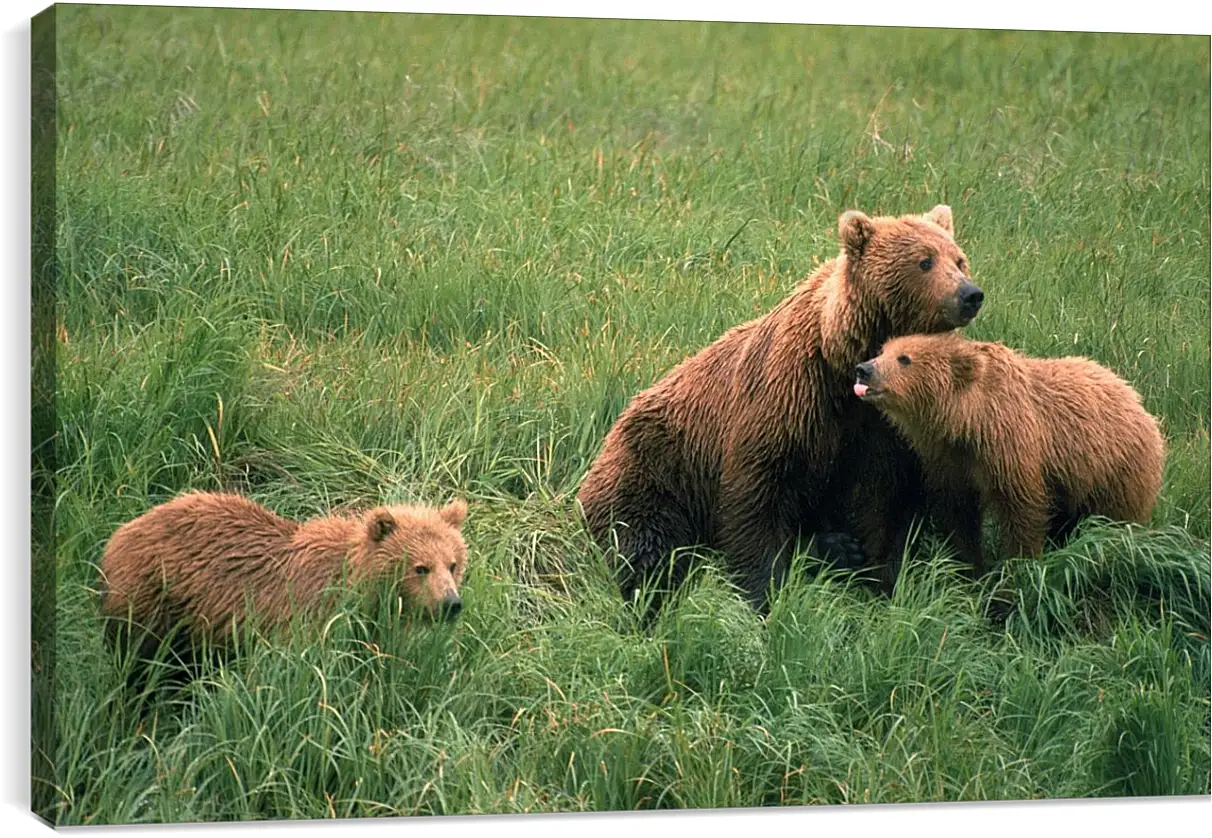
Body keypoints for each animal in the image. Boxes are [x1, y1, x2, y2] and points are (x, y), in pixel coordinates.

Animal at [576, 203, 984, 608]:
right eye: (925, 261)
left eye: (959, 259)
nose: (970, 294)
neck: (846, 363)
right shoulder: (791, 396)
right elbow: (759, 493)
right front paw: (763, 592)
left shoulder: (890, 424)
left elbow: (885, 501)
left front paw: (880, 578)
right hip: (658, 467)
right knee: (643, 536)